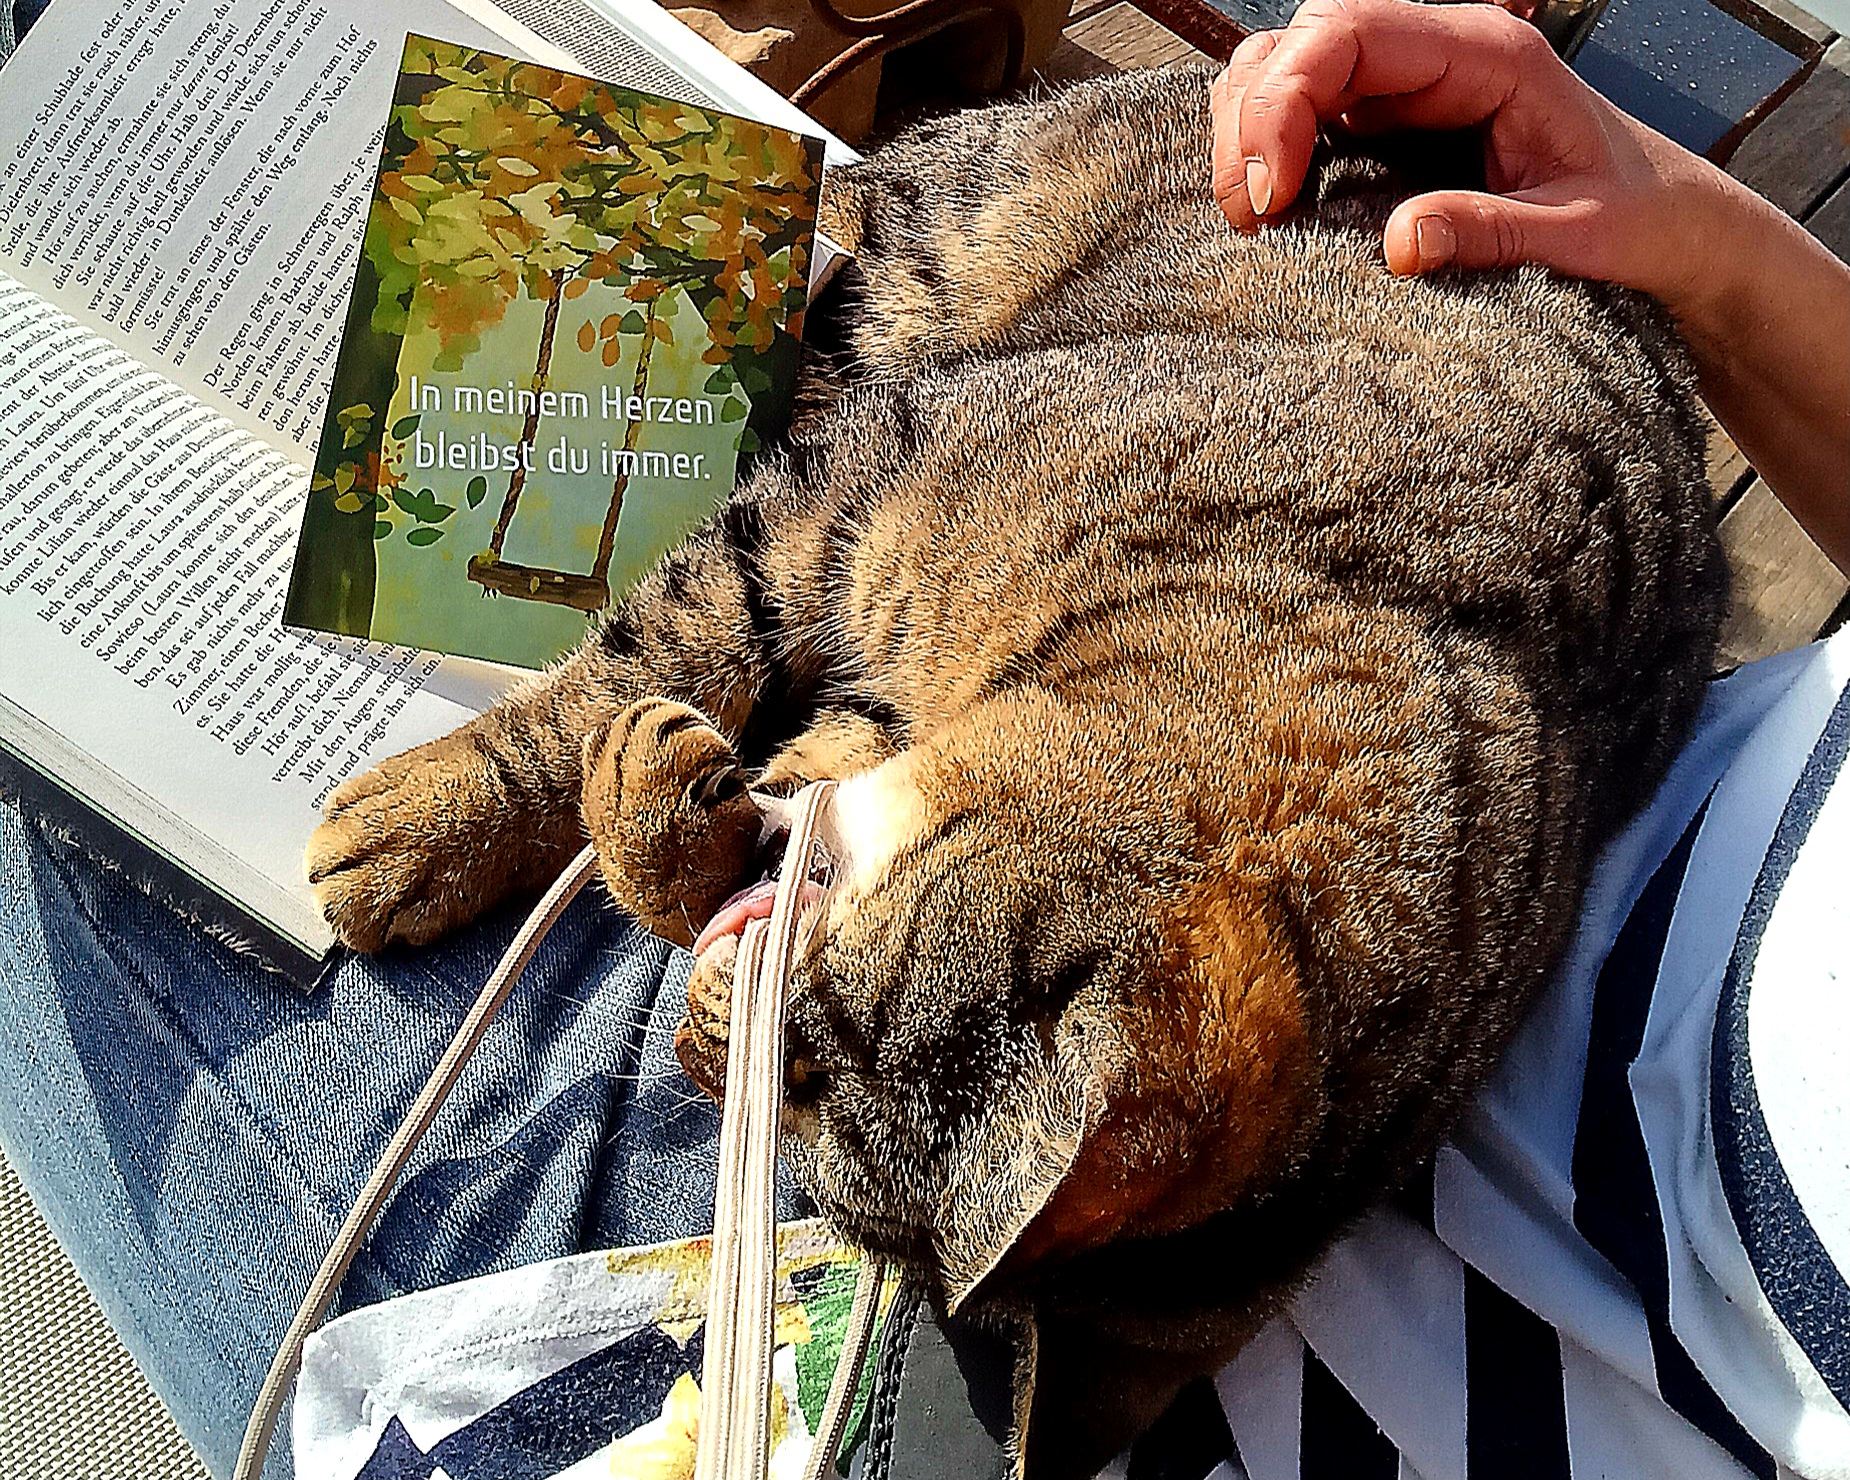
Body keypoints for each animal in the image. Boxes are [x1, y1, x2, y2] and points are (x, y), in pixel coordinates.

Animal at [306, 63, 1726, 1475]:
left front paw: (655, 820)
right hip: (935, 250)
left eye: (797, 1088)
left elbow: (713, 820)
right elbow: (660, 643)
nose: (700, 1064)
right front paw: (441, 814)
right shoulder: (856, 487)